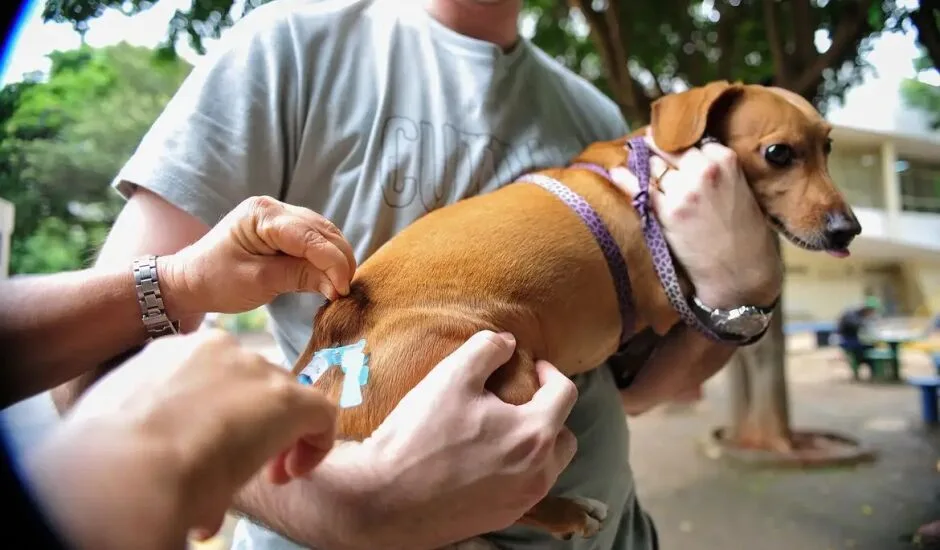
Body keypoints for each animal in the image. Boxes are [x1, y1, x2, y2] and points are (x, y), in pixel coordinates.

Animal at [292, 80, 860, 540]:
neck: (644, 170)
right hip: (510, 381)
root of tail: (335, 335)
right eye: (779, 153)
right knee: (495, 504)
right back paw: (567, 512)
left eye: (829, 147)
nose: (848, 230)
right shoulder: (667, 302)